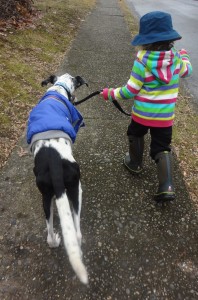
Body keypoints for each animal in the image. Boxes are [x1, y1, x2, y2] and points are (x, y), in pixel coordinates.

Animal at [26, 72, 88, 284]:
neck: (59, 89)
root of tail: (54, 162)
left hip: (46, 198)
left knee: (50, 237)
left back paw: (55, 241)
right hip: (76, 190)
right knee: (77, 234)